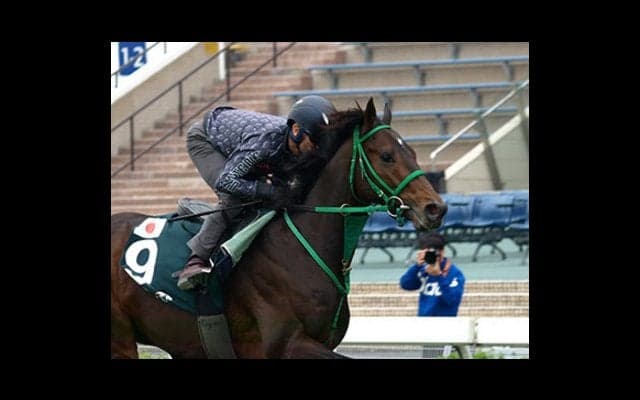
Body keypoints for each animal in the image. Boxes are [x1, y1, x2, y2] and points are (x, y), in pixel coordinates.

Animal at [111, 98, 447, 358]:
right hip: (122, 339)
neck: (300, 245)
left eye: (412, 152)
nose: (435, 208)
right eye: (387, 156)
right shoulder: (286, 344)